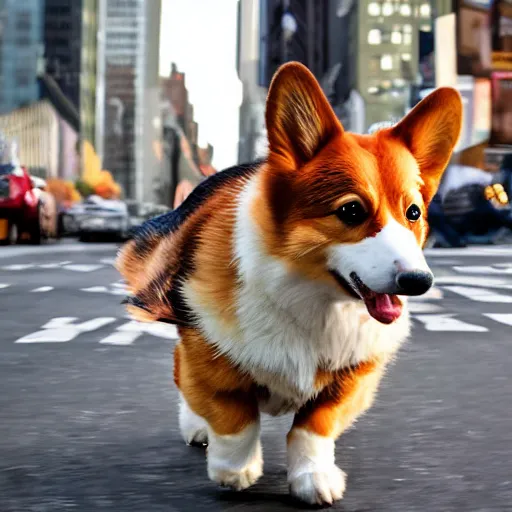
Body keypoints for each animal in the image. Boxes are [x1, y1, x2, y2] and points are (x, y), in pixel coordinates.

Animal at [117, 62, 464, 506]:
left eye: (414, 212)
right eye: (351, 211)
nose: (419, 281)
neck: (310, 297)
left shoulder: (353, 376)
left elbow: (313, 428)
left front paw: (313, 478)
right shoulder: (209, 355)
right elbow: (234, 417)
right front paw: (235, 469)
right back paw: (196, 427)